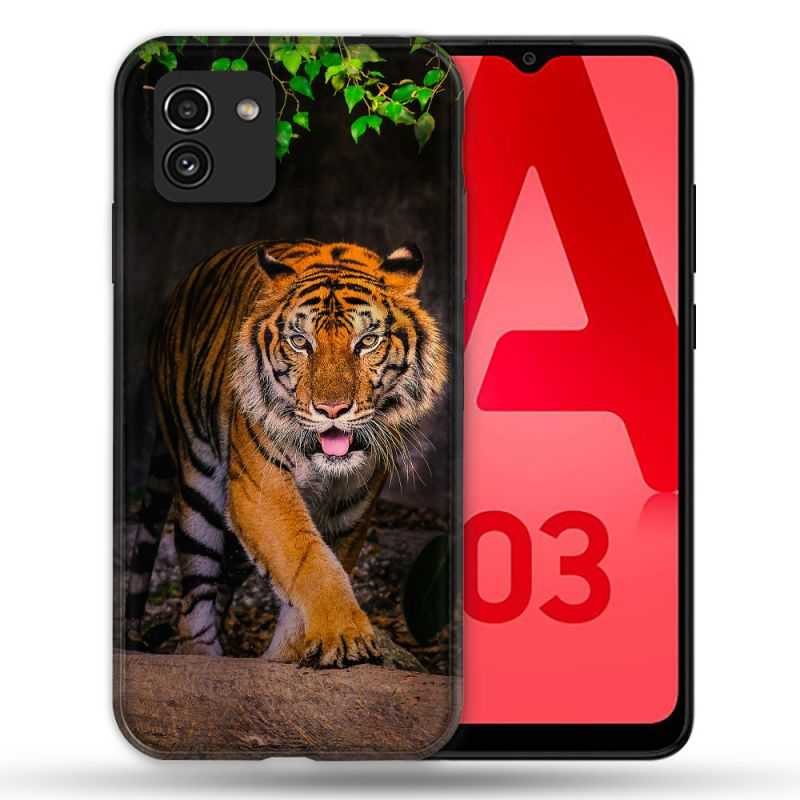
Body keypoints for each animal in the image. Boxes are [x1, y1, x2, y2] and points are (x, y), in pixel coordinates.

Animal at [125, 239, 447, 667]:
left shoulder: (352, 508)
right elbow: (308, 559)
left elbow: (321, 566)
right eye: (300, 343)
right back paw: (201, 654)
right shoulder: (261, 489)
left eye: (366, 342)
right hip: (198, 489)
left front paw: (290, 653)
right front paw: (345, 634)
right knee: (196, 591)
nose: (331, 409)